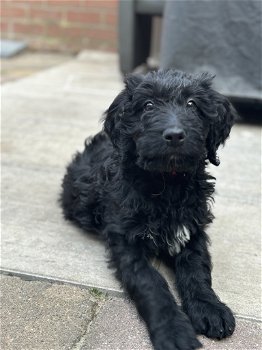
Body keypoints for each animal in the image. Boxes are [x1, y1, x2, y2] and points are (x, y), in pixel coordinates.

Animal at [62, 69, 237, 348]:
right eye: (148, 105)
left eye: (192, 104)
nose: (175, 135)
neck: (167, 181)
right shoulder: (125, 242)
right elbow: (151, 283)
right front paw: (173, 331)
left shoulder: (192, 230)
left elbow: (197, 269)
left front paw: (209, 308)